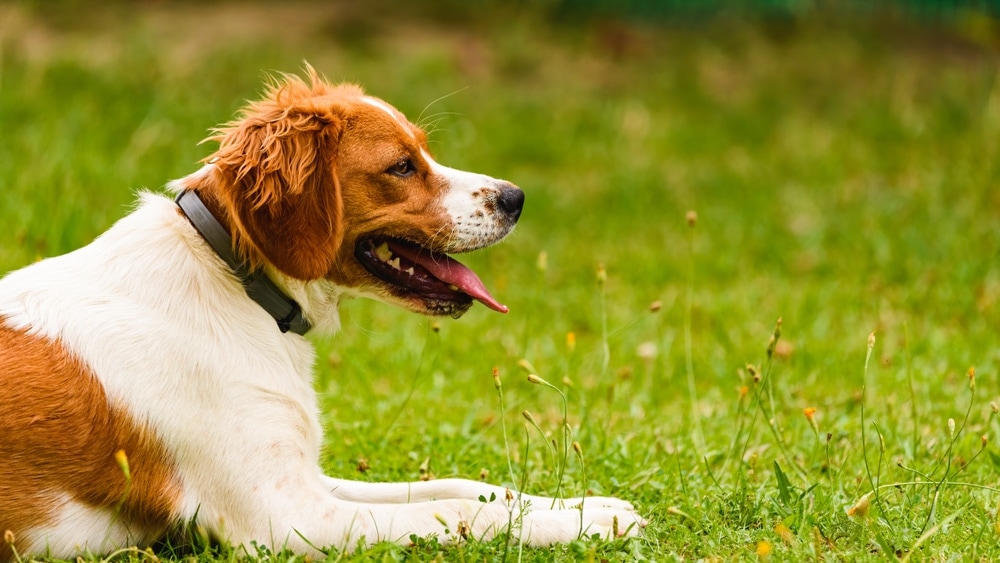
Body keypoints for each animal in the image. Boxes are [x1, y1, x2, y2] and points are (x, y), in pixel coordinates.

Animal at [0, 68, 644, 556]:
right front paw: (582, 523)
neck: (237, 283)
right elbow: (462, 510)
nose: (516, 198)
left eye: (423, 150)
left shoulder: (305, 480)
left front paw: (592, 507)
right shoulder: (283, 519)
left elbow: (463, 486)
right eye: (402, 166)